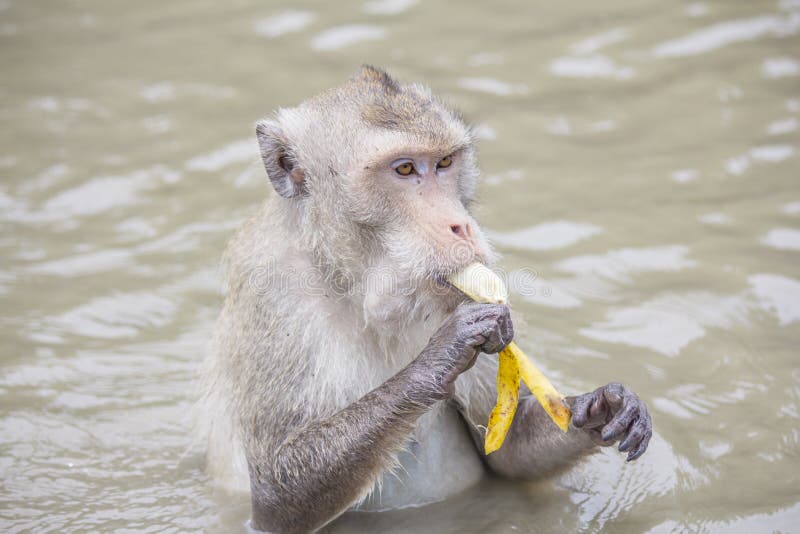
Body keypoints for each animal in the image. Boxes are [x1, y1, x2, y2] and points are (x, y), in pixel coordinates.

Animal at [199, 66, 652, 533]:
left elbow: (507, 456)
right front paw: (442, 354)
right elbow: (276, 494)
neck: (353, 286)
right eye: (404, 168)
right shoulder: (270, 295)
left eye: (444, 164)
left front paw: (604, 408)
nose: (460, 226)